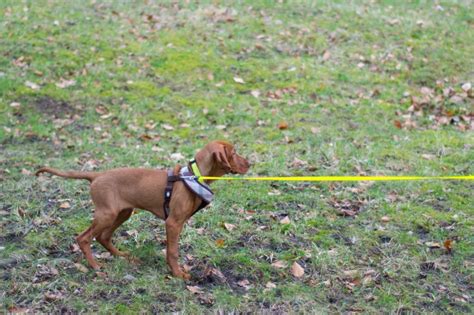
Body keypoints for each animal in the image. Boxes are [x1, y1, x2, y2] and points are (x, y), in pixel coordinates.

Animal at [35, 141, 250, 278]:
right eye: (234, 153)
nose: (250, 163)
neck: (192, 176)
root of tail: (97, 175)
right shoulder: (173, 223)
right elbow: (172, 251)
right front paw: (177, 273)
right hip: (107, 214)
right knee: (84, 238)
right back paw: (96, 266)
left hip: (123, 213)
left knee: (103, 237)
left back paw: (122, 256)